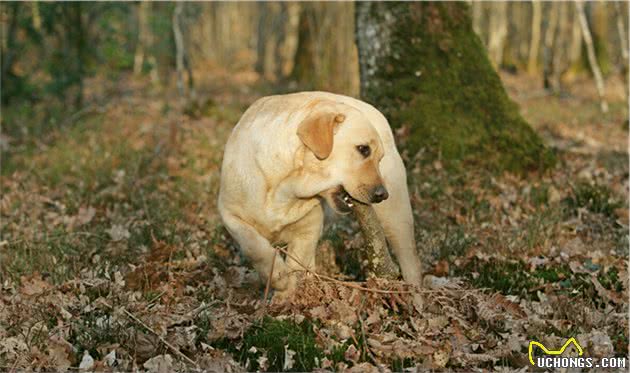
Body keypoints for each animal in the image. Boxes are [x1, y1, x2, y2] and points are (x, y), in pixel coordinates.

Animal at [220, 90, 422, 296]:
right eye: (363, 149)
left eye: (379, 159)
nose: (383, 194)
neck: (286, 186)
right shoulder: (229, 215)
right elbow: (254, 246)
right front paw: (278, 277)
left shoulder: (310, 224)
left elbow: (296, 264)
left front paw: (286, 292)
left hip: (395, 216)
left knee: (411, 263)